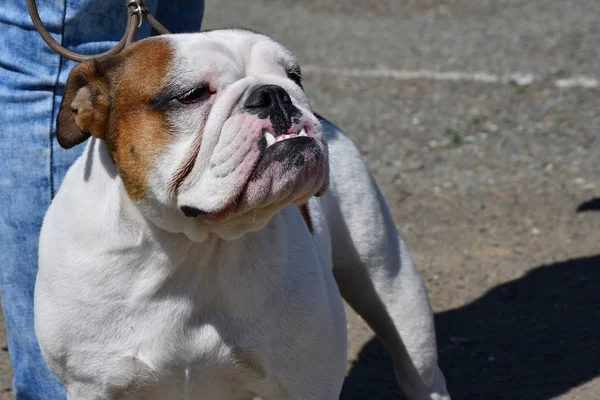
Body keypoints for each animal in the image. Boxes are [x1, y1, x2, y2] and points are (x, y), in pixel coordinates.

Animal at [35, 28, 450, 400]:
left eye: (295, 76)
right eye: (192, 94)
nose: (274, 93)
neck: (192, 245)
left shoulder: (305, 382)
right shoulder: (92, 385)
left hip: (394, 292)